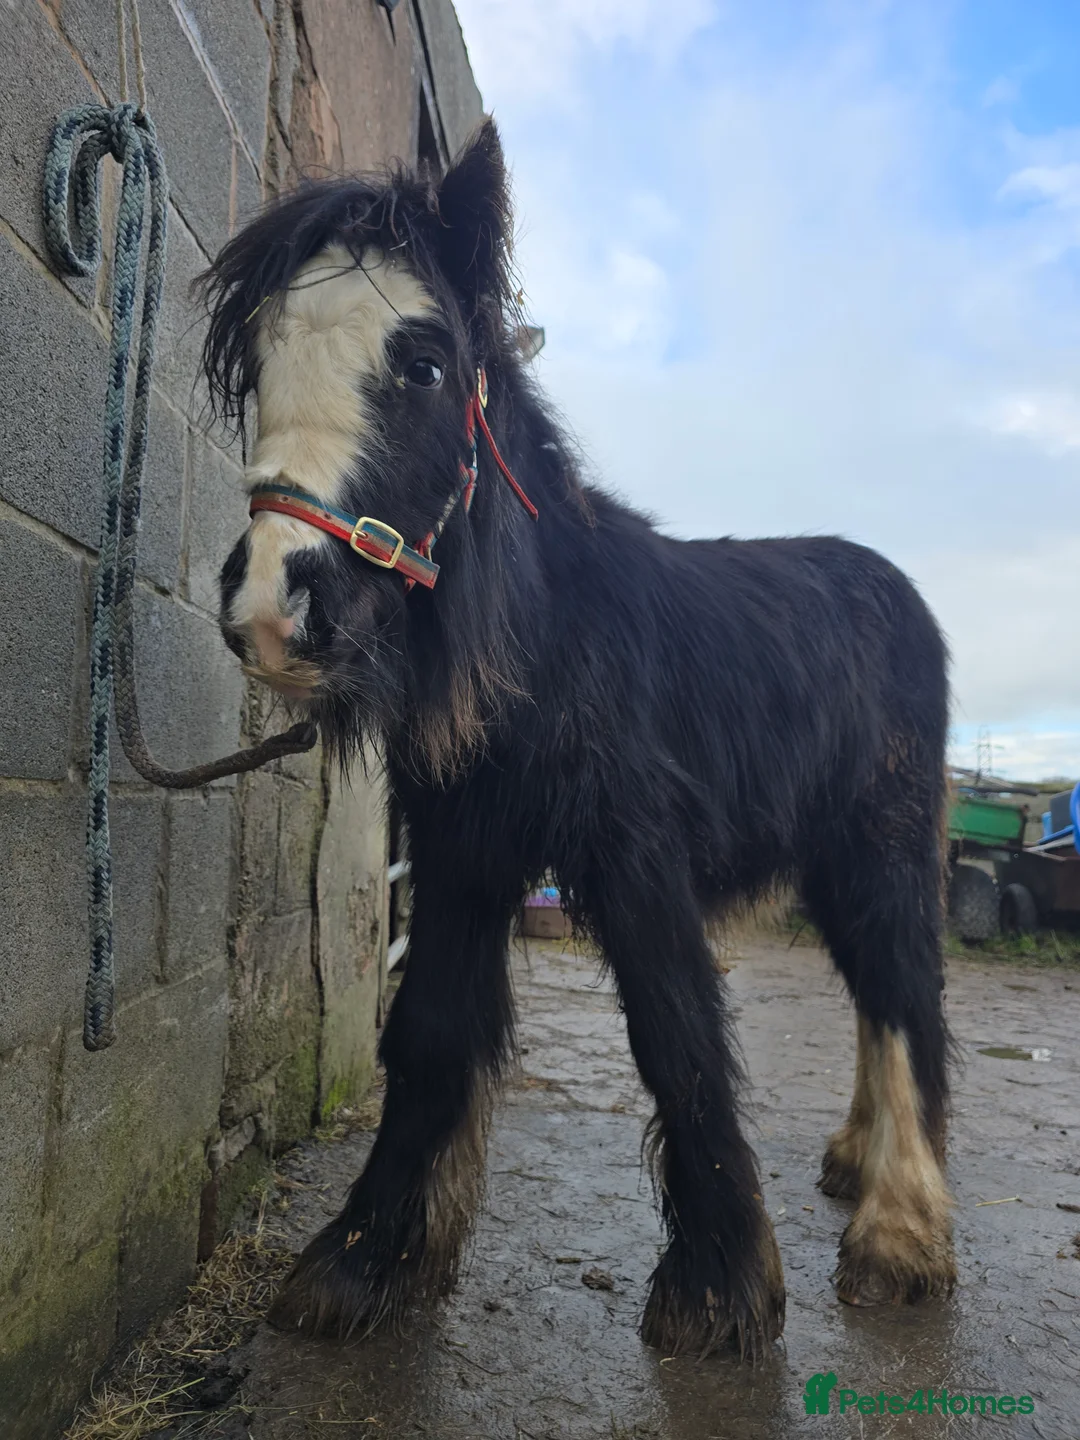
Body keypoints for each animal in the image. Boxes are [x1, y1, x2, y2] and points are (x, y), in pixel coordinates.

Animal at [199, 119, 955, 1358]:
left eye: (424, 364)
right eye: (257, 365)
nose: (274, 608)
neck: (550, 645)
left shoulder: (635, 853)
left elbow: (678, 1035)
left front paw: (720, 1289)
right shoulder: (463, 855)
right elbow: (431, 1033)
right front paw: (366, 1259)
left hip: (882, 847)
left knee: (902, 993)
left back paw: (897, 1234)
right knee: (869, 993)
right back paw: (852, 1166)